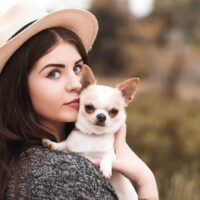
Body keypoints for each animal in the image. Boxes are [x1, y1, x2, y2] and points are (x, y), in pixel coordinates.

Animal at [42, 65, 139, 199]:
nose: (101, 116)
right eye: (89, 107)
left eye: (114, 111)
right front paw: (51, 144)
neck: (93, 135)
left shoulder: (114, 155)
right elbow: (62, 145)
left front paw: (105, 168)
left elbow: (108, 156)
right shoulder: (70, 147)